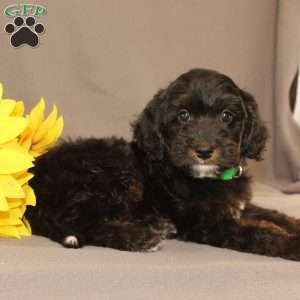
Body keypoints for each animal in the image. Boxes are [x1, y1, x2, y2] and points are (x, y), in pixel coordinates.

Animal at [25, 68, 300, 260]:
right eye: (183, 115)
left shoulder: (237, 206)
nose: (204, 151)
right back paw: (141, 237)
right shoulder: (206, 223)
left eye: (227, 116)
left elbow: (273, 215)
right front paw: (292, 244)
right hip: (107, 176)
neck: (207, 178)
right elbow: (258, 231)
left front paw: (293, 225)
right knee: (85, 222)